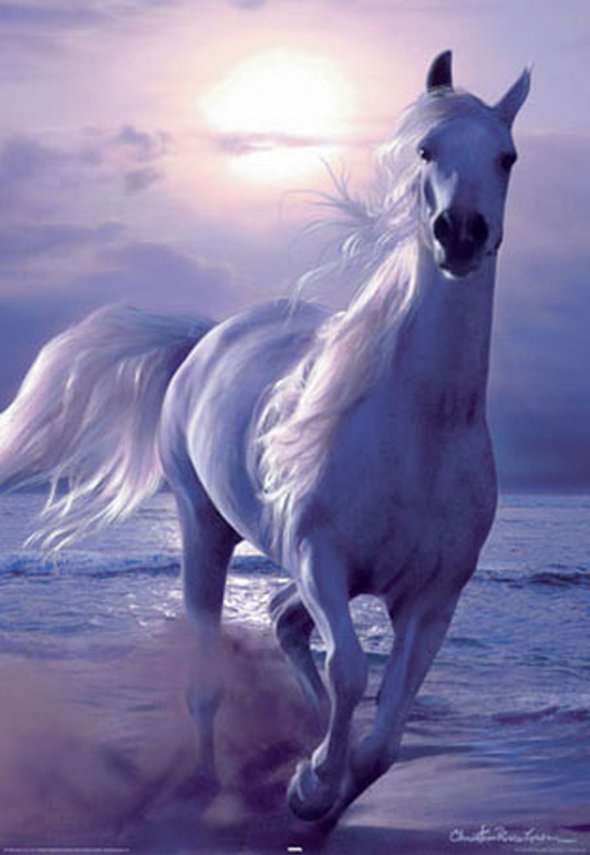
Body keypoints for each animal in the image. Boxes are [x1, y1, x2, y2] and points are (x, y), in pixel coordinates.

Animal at [0, 51, 530, 824]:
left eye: (507, 157)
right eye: (426, 150)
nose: (459, 232)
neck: (420, 428)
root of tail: (203, 338)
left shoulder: (433, 600)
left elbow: (384, 736)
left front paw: (321, 784)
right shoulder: (320, 558)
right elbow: (350, 670)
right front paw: (312, 783)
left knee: (284, 622)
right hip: (204, 526)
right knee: (211, 673)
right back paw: (208, 784)